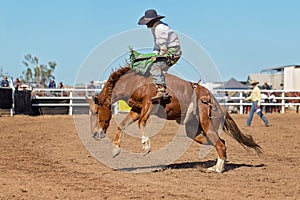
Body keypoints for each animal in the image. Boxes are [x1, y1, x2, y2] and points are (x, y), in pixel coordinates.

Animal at [85, 66, 262, 173]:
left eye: (95, 112)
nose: (94, 134)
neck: (135, 81)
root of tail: (216, 102)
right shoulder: (136, 109)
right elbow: (122, 124)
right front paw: (115, 149)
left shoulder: (149, 103)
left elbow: (142, 123)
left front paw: (146, 147)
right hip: (194, 128)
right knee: (217, 141)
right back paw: (217, 164)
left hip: (205, 121)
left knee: (220, 144)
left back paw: (216, 169)